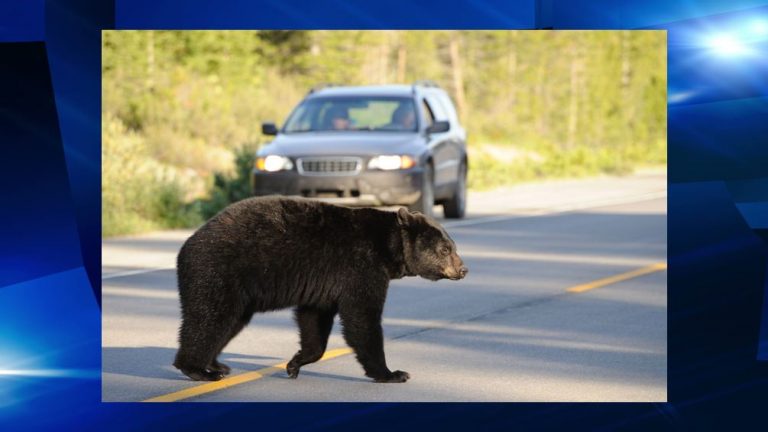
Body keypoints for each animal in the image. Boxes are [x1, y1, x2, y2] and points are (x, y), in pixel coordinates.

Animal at [173, 197, 468, 384]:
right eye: (446, 249)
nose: (463, 269)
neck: (388, 247)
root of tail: (185, 248)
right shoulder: (360, 266)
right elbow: (362, 317)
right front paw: (391, 373)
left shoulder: (324, 283)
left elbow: (314, 320)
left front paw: (295, 363)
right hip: (218, 273)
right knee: (210, 319)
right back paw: (198, 369)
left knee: (228, 322)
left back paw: (216, 364)